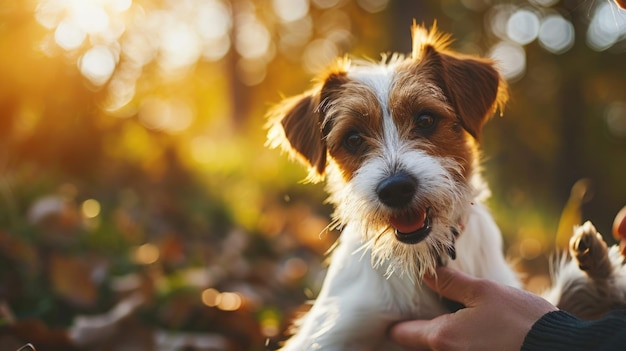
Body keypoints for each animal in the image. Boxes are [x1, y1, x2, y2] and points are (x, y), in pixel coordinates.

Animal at [264, 23, 624, 350]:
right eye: (352, 139)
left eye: (426, 119)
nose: (396, 189)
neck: (424, 256)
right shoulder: (331, 333)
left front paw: (600, 274)